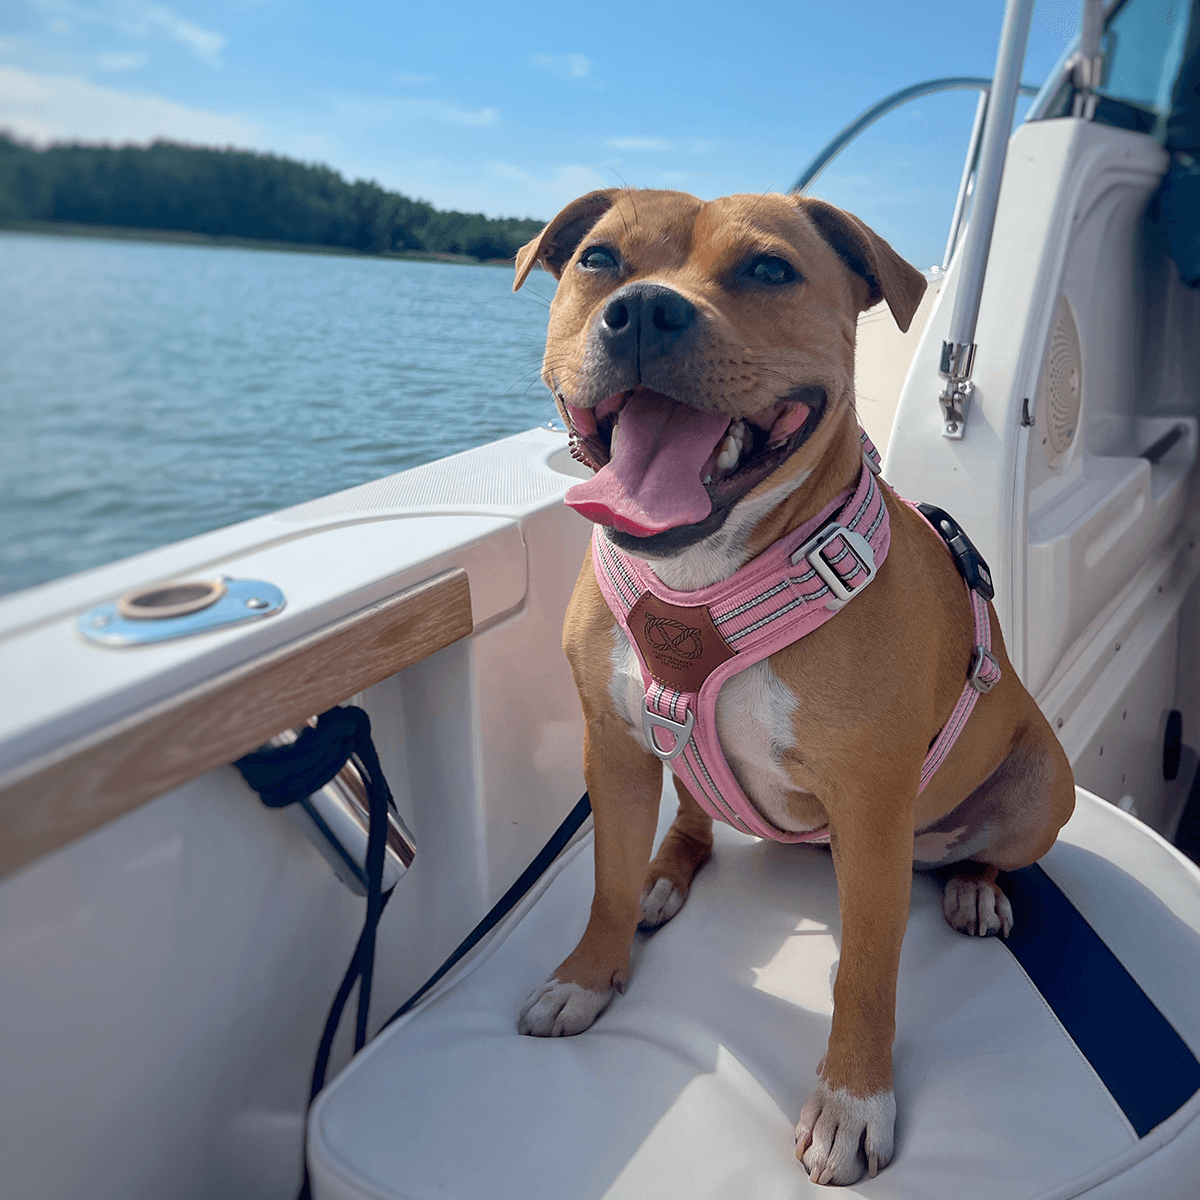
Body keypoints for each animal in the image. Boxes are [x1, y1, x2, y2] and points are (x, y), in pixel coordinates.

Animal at [511, 192, 1075, 1185]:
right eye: (599, 259)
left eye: (770, 270)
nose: (645, 310)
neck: (703, 580)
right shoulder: (611, 749)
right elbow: (605, 879)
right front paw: (587, 973)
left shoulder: (873, 804)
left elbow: (866, 972)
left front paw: (852, 1102)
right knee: (689, 824)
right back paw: (666, 873)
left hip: (1047, 783)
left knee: (991, 850)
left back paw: (974, 885)